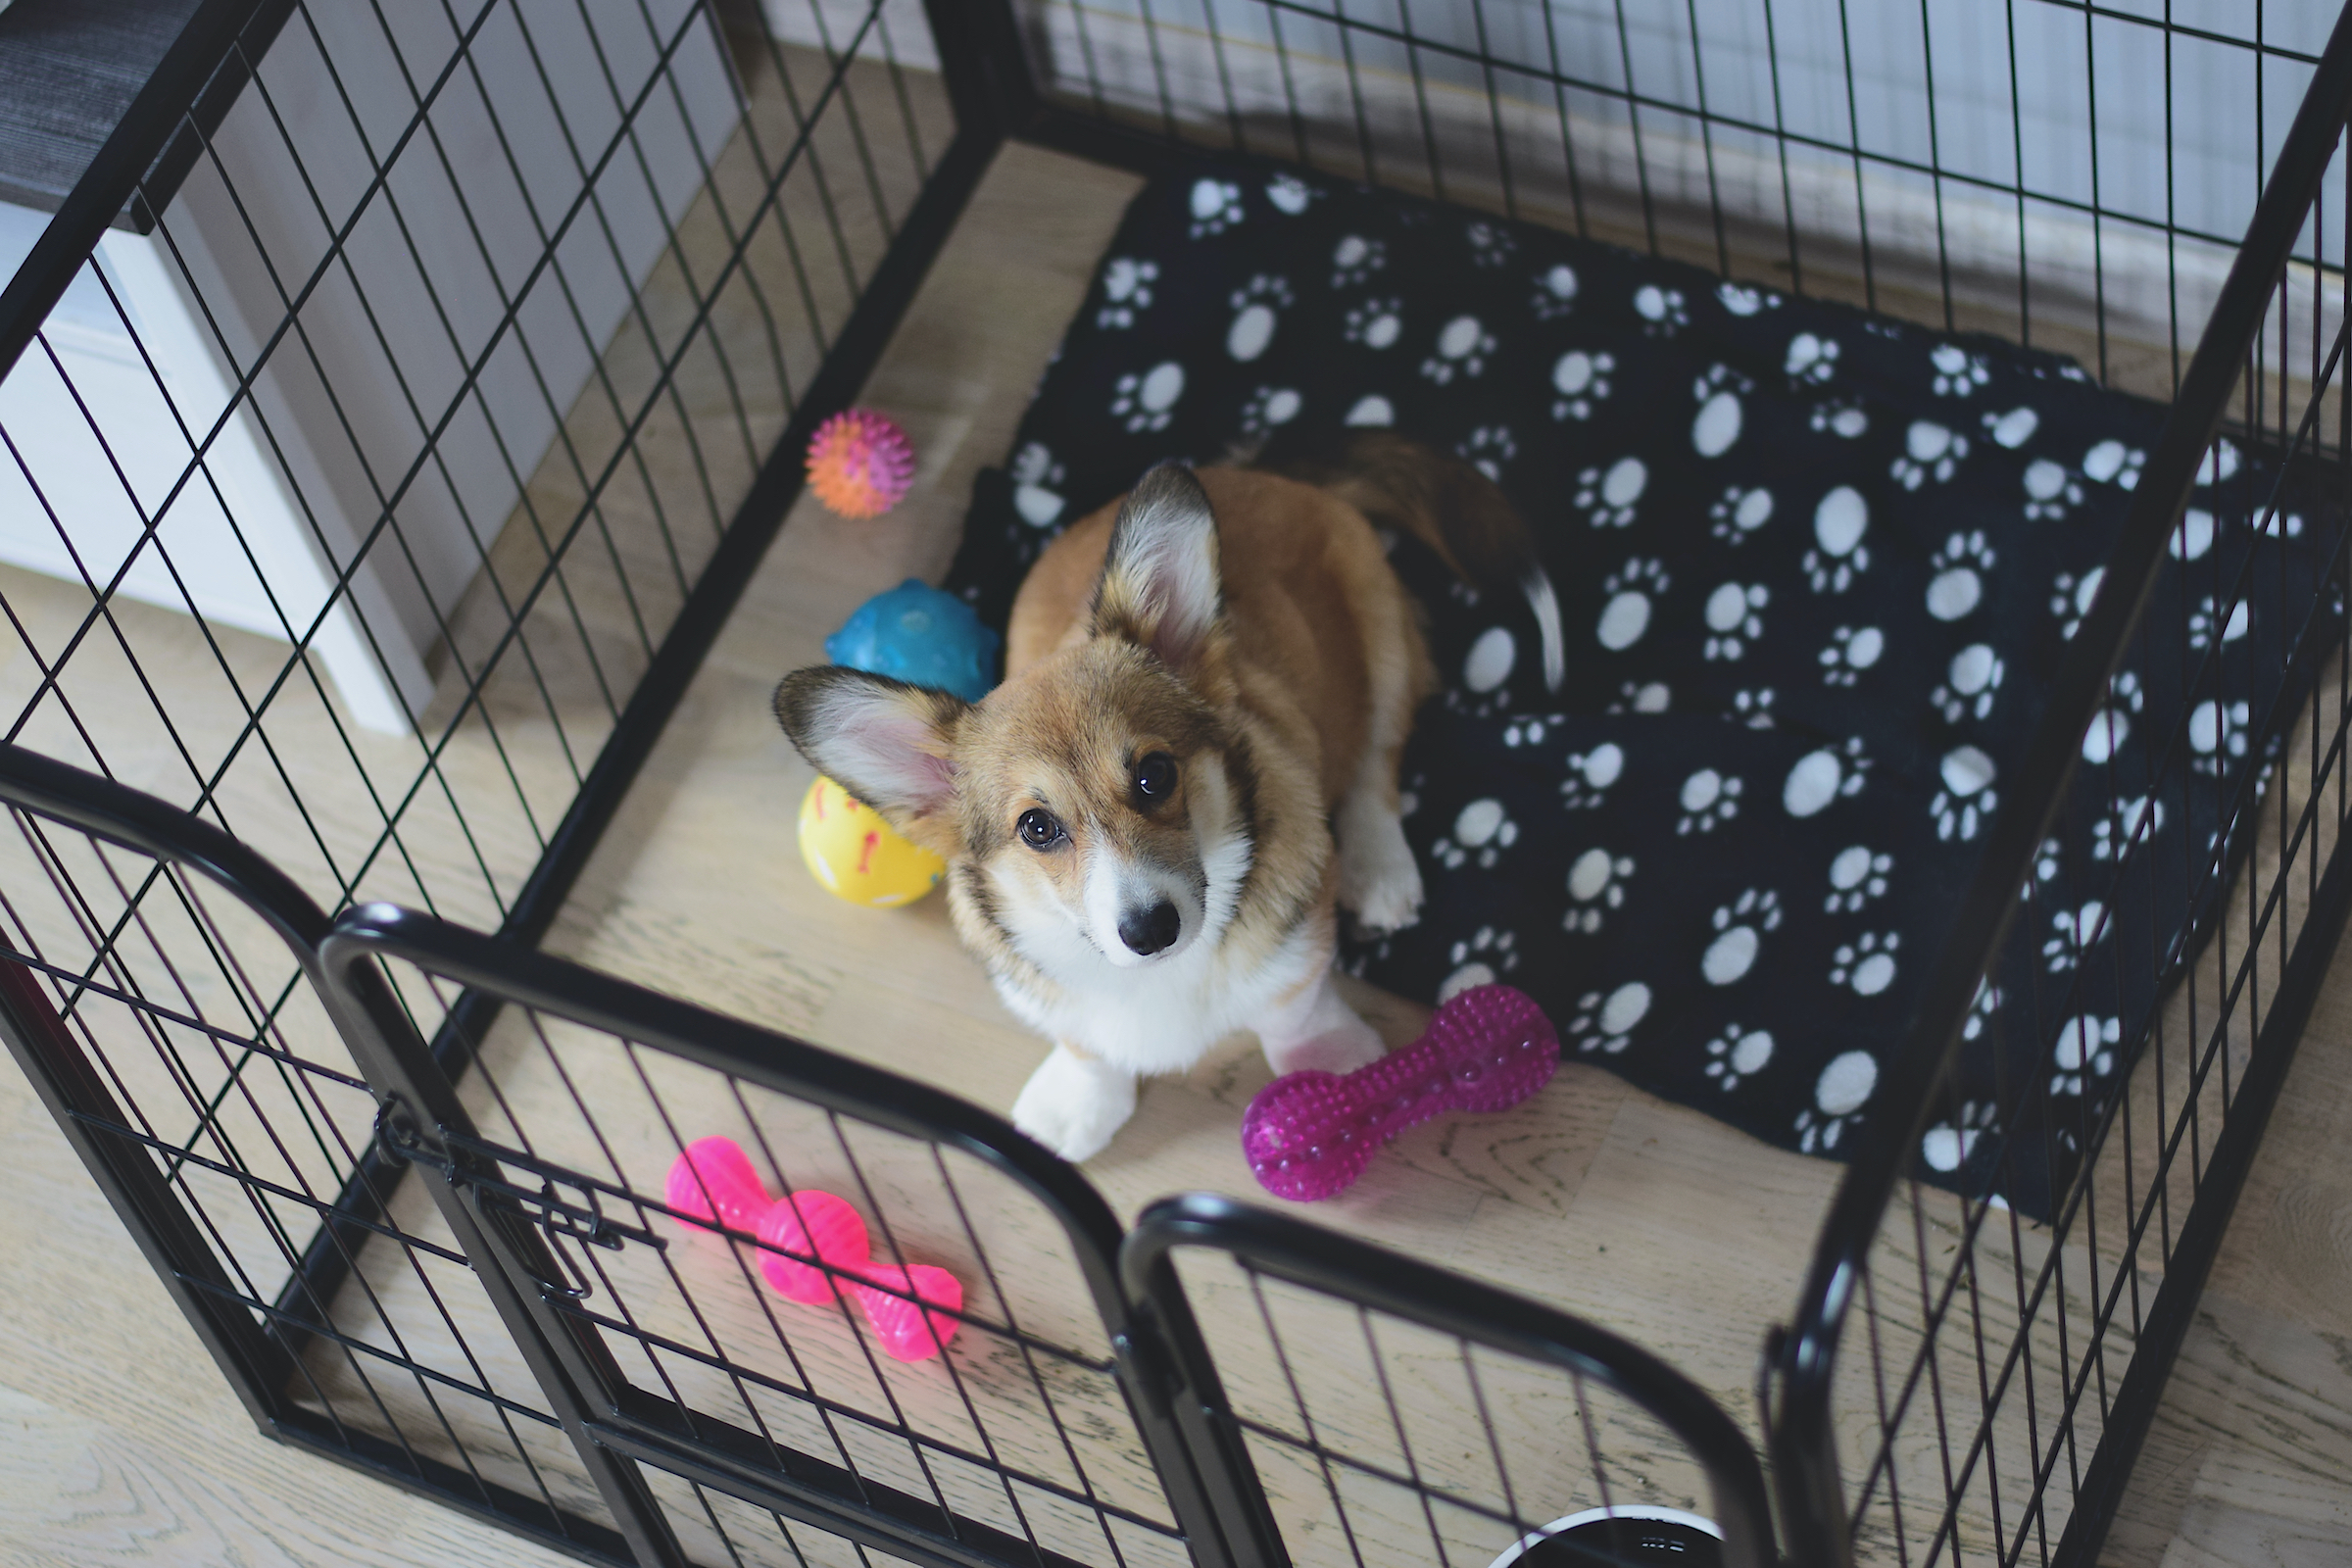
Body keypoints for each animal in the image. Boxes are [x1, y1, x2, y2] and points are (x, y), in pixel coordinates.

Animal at [776, 432, 1561, 1165]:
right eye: (1036, 828)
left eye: (1155, 774)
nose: (1150, 930)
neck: (1157, 978)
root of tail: (1267, 471)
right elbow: (1087, 1046)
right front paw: (1076, 1108)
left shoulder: (1300, 933)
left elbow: (1293, 1007)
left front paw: (1332, 1063)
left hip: (1383, 636)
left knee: (1376, 763)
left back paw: (1382, 870)